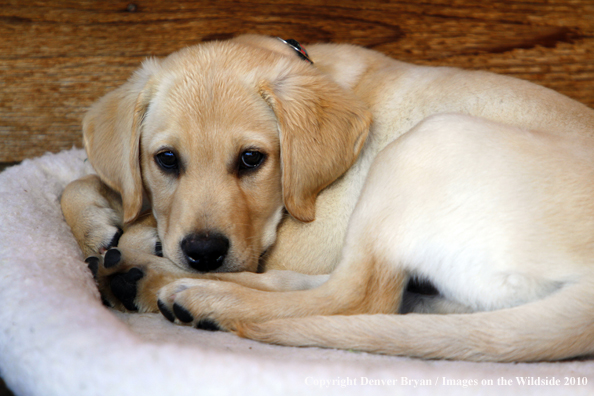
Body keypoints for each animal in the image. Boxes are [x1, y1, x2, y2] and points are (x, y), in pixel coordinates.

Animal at [61, 34, 592, 362]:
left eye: (252, 159)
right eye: (167, 160)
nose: (203, 254)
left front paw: (132, 236)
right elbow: (81, 184)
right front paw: (103, 226)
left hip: (423, 145)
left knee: (357, 297)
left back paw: (196, 296)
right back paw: (145, 275)